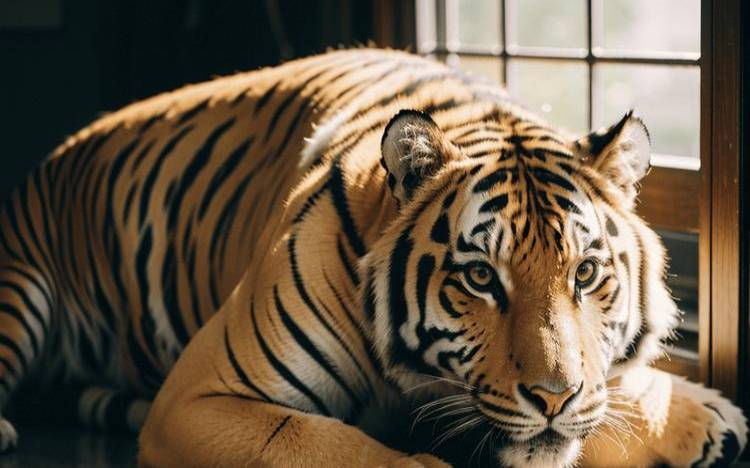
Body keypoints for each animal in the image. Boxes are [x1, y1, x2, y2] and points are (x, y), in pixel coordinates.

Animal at [0, 48, 745, 467]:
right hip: (21, 287)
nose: (553, 399)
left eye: (585, 274)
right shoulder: (199, 397)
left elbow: (621, 381)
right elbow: (331, 446)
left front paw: (704, 418)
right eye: (481, 277)